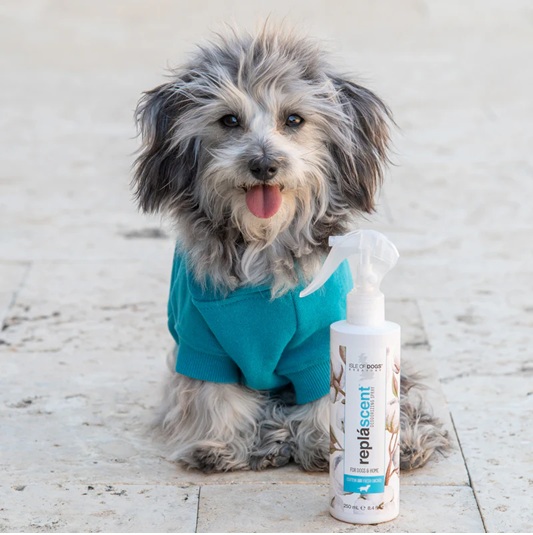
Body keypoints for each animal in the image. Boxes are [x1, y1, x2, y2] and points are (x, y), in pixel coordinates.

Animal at [132, 25, 450, 473]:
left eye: (294, 119)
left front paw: (324, 446)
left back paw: (402, 445)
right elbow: (214, 395)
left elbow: (326, 396)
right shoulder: (201, 342)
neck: (263, 241)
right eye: (229, 120)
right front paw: (217, 444)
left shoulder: (318, 343)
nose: (264, 164)